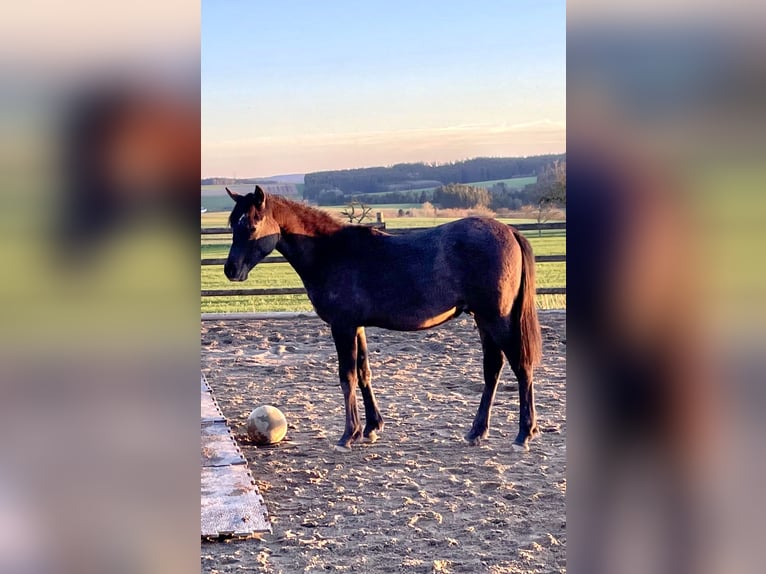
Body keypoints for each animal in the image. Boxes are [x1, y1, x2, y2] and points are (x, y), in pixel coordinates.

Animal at [225, 187, 544, 452]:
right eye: (231, 225)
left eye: (251, 225)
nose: (231, 270)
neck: (331, 252)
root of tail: (509, 231)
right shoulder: (357, 326)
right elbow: (364, 372)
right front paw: (371, 427)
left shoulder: (342, 327)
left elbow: (347, 376)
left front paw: (348, 435)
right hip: (483, 320)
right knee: (493, 369)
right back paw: (477, 432)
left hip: (497, 319)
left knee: (521, 367)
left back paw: (524, 434)